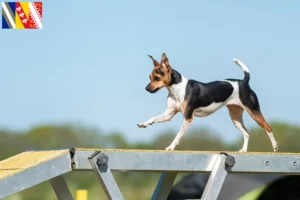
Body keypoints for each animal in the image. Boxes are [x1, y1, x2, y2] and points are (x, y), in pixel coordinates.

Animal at [137, 52, 278, 152]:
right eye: (149, 77)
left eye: (157, 78)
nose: (146, 88)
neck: (176, 89)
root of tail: (244, 81)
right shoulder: (168, 115)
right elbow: (153, 118)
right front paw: (144, 124)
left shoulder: (188, 118)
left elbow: (178, 135)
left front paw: (171, 147)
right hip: (235, 117)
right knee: (247, 133)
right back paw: (243, 150)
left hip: (254, 111)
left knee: (268, 127)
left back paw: (275, 146)